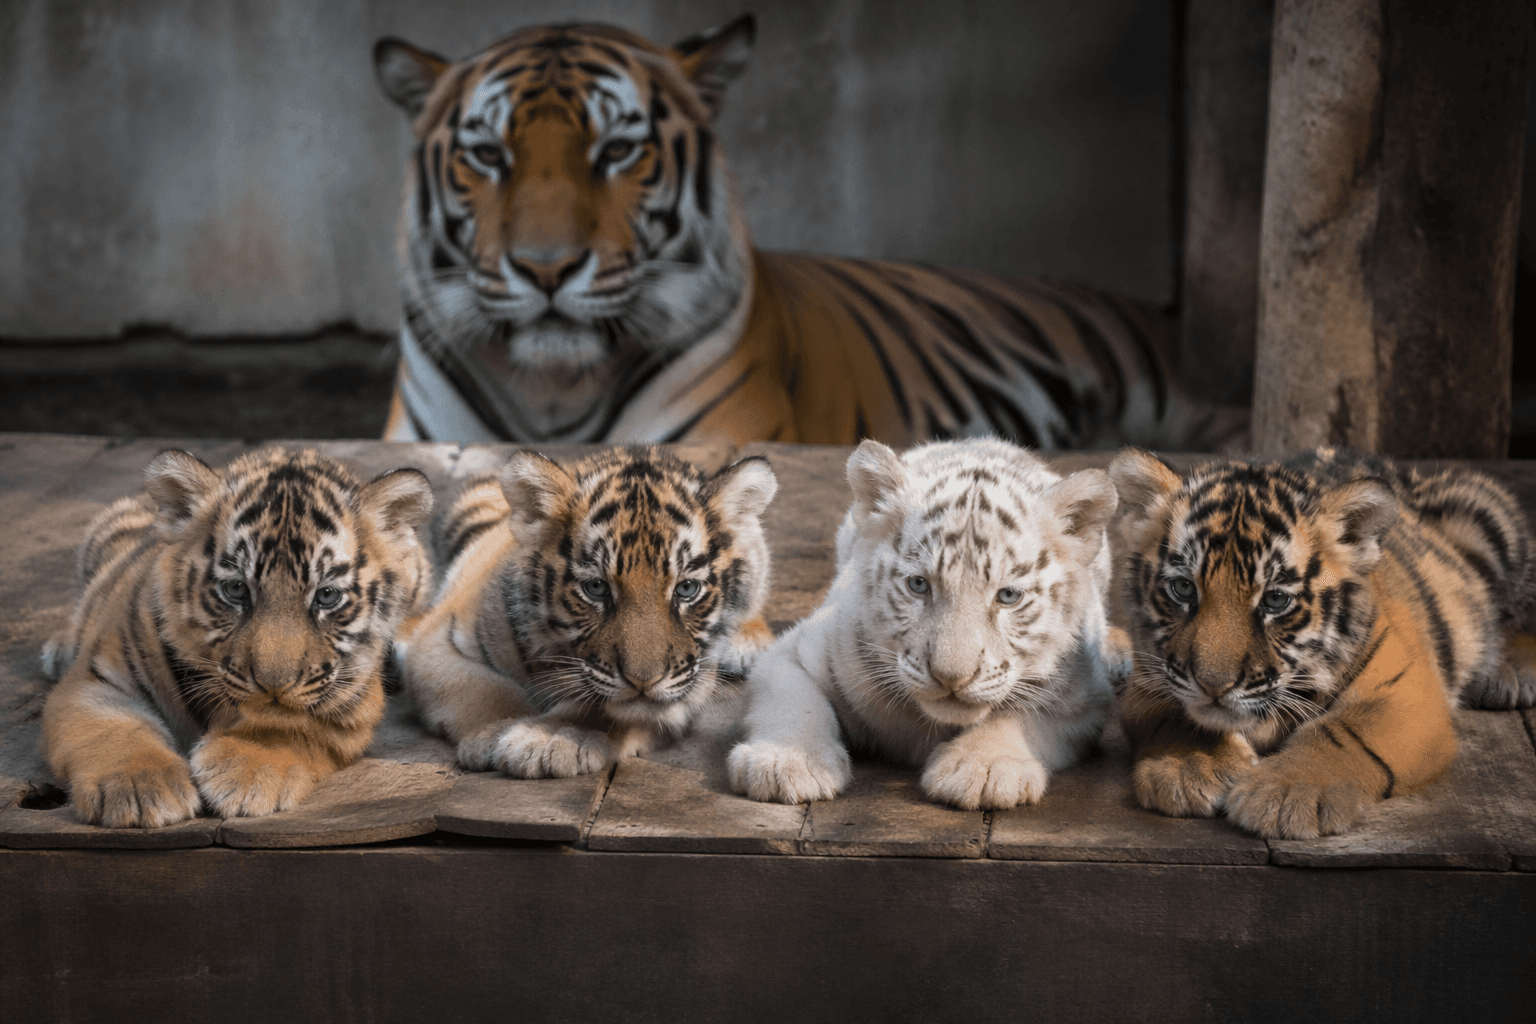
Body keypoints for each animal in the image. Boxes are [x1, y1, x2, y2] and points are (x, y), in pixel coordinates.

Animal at [38, 448, 434, 829]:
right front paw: (139, 787)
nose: (274, 685)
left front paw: (244, 774)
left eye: (326, 596)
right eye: (236, 590)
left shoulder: (354, 706)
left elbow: (294, 728)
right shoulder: (97, 679)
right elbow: (112, 730)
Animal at [399, 447, 778, 778]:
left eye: (686, 589)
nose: (644, 681)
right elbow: (486, 690)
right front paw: (496, 734)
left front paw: (552, 737)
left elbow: (604, 708)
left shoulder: (692, 677)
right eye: (596, 588)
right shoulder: (439, 641)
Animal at [728, 438, 1120, 809]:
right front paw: (787, 762)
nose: (951, 677)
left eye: (1008, 596)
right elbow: (795, 703)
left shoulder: (1084, 697)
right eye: (919, 585)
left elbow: (1020, 714)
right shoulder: (795, 652)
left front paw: (983, 768)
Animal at [1110, 446, 1536, 839]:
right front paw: (1190, 768)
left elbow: (1345, 732)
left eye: (1275, 600)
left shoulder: (1405, 689)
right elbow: (1180, 714)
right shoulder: (1146, 676)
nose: (1213, 686)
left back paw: (1511, 675)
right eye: (1183, 589)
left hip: (1484, 515)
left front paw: (1285, 794)